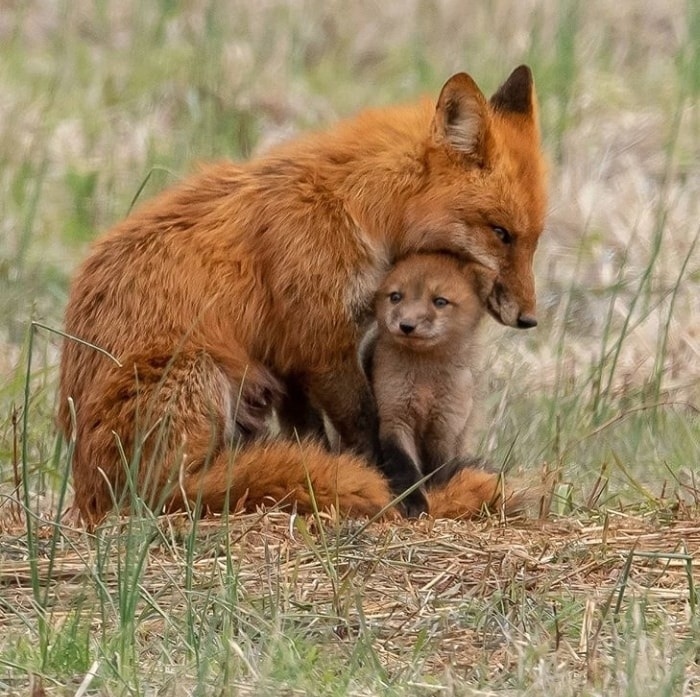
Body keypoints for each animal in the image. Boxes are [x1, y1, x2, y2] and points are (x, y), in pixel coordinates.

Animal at [57, 66, 548, 520]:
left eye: (535, 239)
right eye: (501, 233)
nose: (529, 319)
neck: (355, 208)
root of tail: (89, 498)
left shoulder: (289, 360)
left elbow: (310, 435)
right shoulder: (322, 344)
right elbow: (364, 426)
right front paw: (393, 489)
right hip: (197, 369)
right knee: (175, 492)